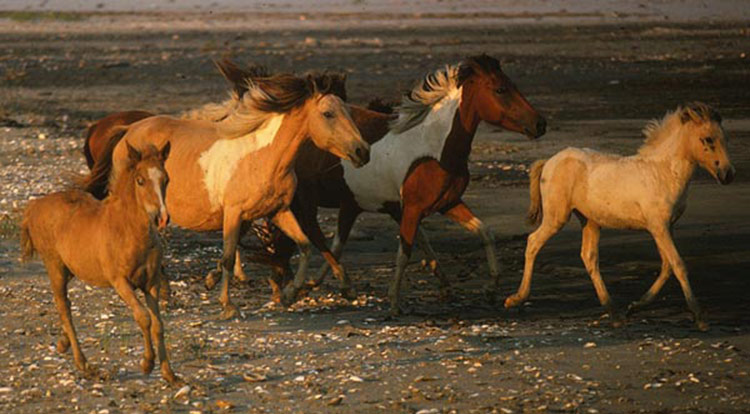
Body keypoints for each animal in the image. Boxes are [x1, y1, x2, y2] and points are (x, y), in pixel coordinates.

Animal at [21, 143, 178, 383]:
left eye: (166, 179)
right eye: (140, 180)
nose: (161, 217)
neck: (130, 231)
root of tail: (34, 206)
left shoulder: (152, 283)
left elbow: (159, 325)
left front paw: (170, 374)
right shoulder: (120, 282)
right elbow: (143, 318)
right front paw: (147, 364)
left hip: (71, 269)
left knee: (65, 305)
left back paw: (63, 344)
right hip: (54, 266)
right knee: (63, 307)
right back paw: (85, 365)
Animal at [81, 69, 370, 319]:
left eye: (348, 111)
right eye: (328, 113)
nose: (362, 151)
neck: (263, 157)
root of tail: (127, 131)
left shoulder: (279, 211)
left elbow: (306, 245)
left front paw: (289, 294)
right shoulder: (234, 213)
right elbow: (229, 257)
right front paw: (228, 304)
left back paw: (164, 293)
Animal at [315, 54, 546, 315]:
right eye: (500, 89)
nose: (540, 124)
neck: (434, 149)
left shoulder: (448, 203)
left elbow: (485, 232)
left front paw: (490, 288)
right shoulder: (412, 209)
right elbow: (404, 252)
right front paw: (394, 303)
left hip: (351, 204)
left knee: (334, 242)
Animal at [504, 102, 734, 331]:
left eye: (725, 138)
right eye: (708, 139)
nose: (728, 174)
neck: (663, 172)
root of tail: (549, 161)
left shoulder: (666, 226)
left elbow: (666, 266)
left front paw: (634, 307)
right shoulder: (658, 226)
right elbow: (678, 265)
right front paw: (700, 317)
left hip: (590, 221)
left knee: (589, 257)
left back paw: (615, 313)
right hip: (556, 217)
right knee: (533, 242)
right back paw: (516, 298)